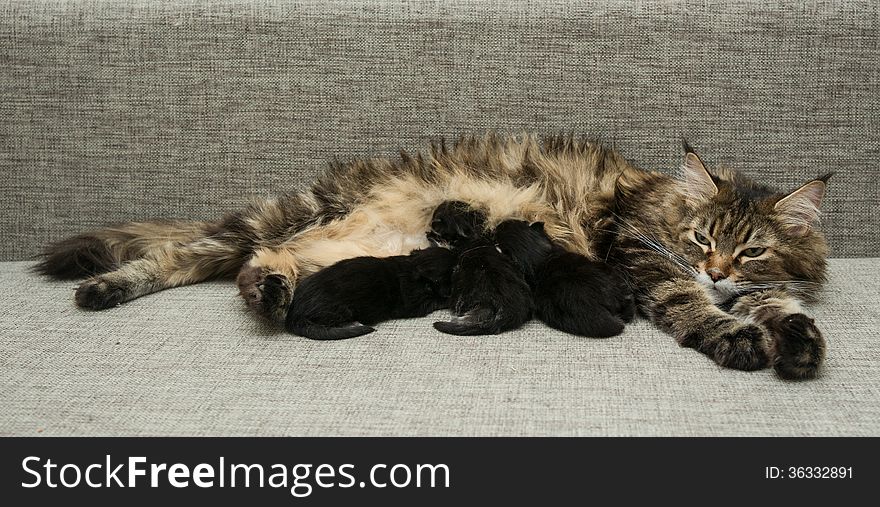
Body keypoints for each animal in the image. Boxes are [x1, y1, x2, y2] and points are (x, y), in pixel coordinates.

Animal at [288, 247, 458, 342]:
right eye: (455, 269)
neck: (414, 267)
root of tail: (294, 314)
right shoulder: (417, 303)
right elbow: (439, 300)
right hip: (337, 311)